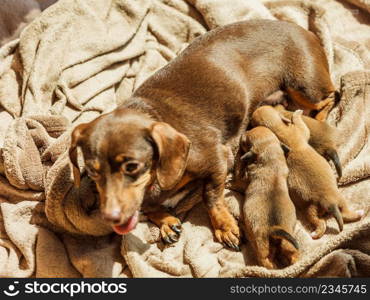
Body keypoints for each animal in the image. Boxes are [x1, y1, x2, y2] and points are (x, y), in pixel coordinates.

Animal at [68, 18, 336, 248]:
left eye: (132, 166)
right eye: (93, 171)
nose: (111, 217)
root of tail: (305, 31)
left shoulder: (217, 159)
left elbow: (211, 196)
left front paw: (225, 226)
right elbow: (149, 206)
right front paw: (166, 222)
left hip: (303, 86)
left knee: (330, 97)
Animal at [240, 125, 298, 268]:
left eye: (244, 142)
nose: (244, 132)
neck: (271, 158)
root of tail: (274, 229)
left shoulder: (244, 177)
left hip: (261, 244)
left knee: (264, 260)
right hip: (288, 243)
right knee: (293, 254)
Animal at [250, 106, 362, 239]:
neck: (277, 129)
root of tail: (328, 203)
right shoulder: (301, 130)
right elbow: (300, 123)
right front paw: (297, 113)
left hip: (311, 211)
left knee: (321, 223)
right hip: (338, 199)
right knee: (344, 213)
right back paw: (358, 213)